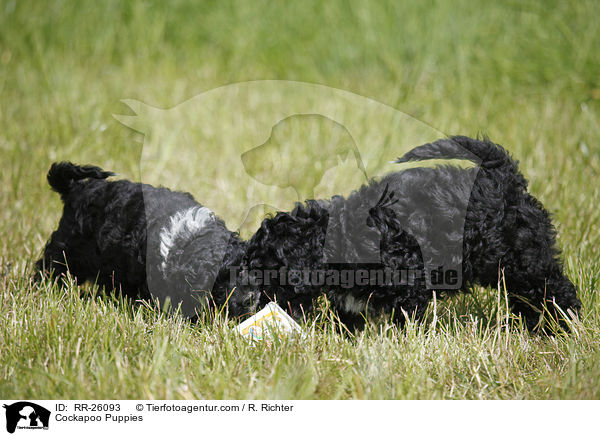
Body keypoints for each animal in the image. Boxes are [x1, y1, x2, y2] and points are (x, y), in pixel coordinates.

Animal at [38, 136, 580, 330]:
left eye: (266, 268)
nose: (252, 303)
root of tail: (503, 175)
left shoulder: (406, 281)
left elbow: (401, 313)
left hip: (524, 258)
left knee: (552, 288)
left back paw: (559, 325)